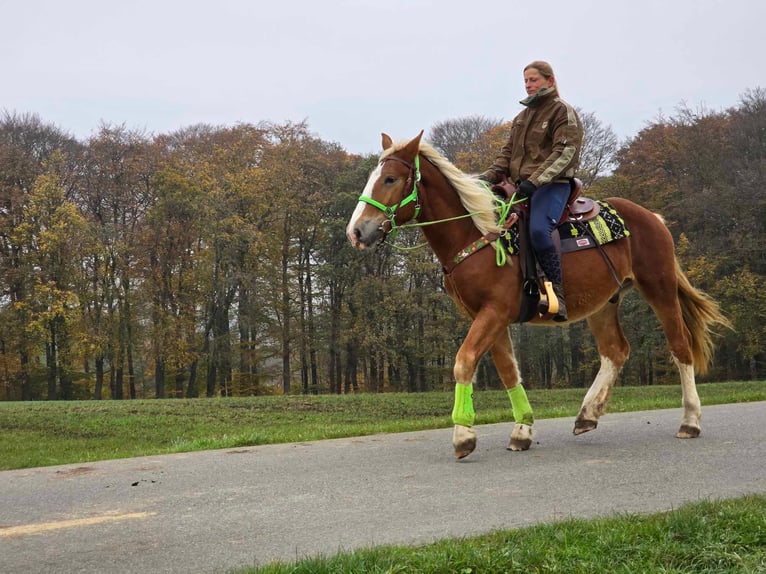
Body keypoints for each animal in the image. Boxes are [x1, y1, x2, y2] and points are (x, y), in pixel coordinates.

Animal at [346, 133, 732, 462]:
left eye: (390, 179)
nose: (357, 231)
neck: (478, 234)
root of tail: (652, 217)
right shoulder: (489, 316)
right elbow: (508, 372)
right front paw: (522, 430)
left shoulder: (494, 312)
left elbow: (464, 362)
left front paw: (463, 435)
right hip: (603, 303)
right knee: (615, 351)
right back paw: (588, 414)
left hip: (659, 288)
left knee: (680, 346)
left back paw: (690, 421)